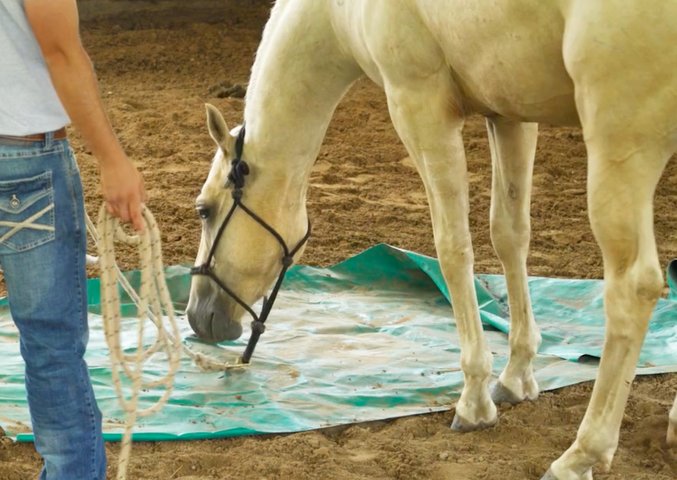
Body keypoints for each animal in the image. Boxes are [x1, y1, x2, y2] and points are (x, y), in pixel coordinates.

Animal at [185, 0, 676, 480]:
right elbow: (509, 235)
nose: (197, 317)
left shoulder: (419, 105)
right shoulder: (510, 115)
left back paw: (579, 456)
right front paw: (516, 375)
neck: (338, 9)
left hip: (620, 143)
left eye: (204, 209)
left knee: (634, 288)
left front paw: (475, 400)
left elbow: (453, 247)